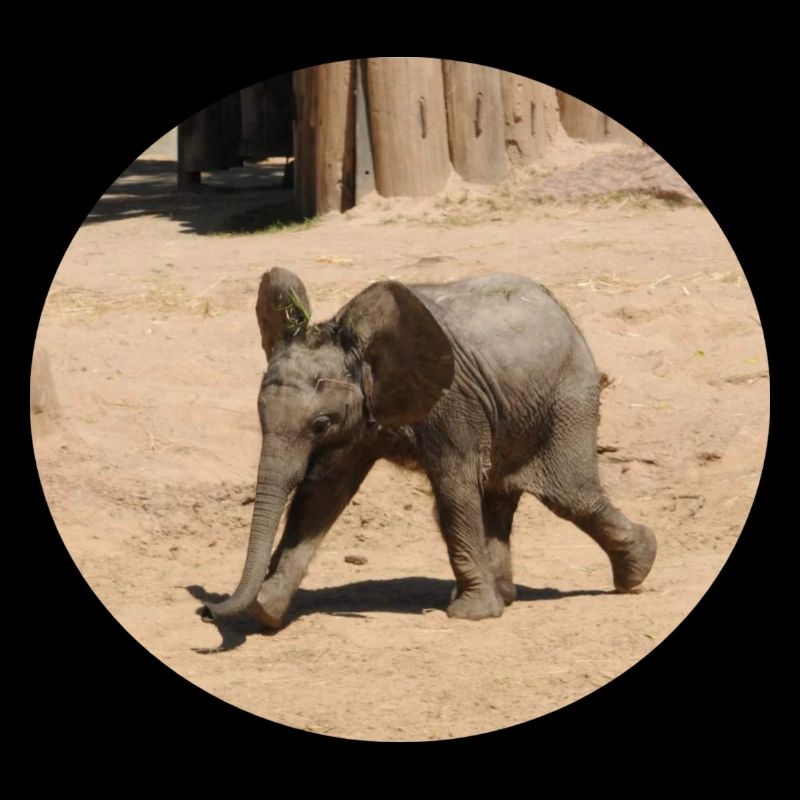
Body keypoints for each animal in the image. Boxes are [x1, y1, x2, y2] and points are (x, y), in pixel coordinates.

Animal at [204, 268, 656, 628]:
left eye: (320, 424)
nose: (210, 610)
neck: (359, 346)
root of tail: (560, 309)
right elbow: (322, 493)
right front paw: (266, 609)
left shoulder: (451, 403)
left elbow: (454, 486)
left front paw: (473, 616)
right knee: (500, 497)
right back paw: (507, 595)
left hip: (568, 399)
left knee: (571, 495)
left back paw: (639, 567)